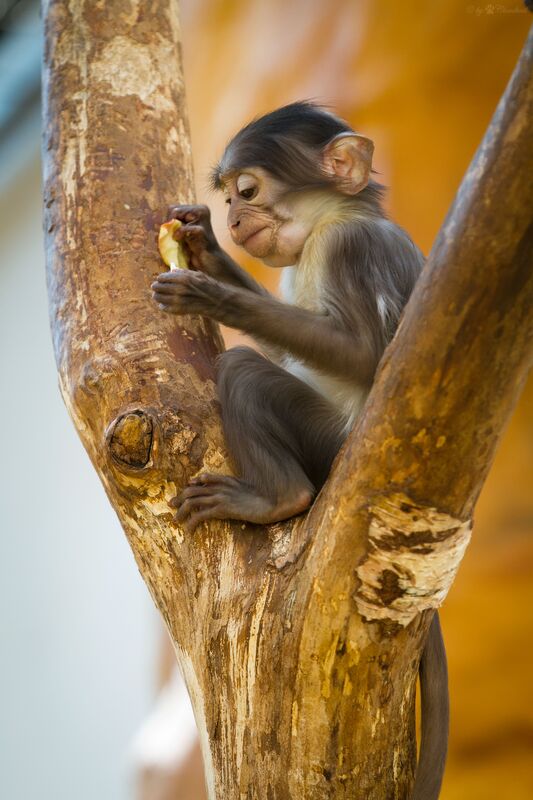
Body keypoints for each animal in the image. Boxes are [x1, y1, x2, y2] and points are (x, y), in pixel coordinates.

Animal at [151, 101, 448, 800]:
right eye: (227, 195)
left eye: (248, 189)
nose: (231, 217)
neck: (335, 219)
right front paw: (204, 249)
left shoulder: (352, 247)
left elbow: (361, 355)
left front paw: (212, 294)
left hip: (328, 441)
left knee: (245, 373)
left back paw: (275, 499)